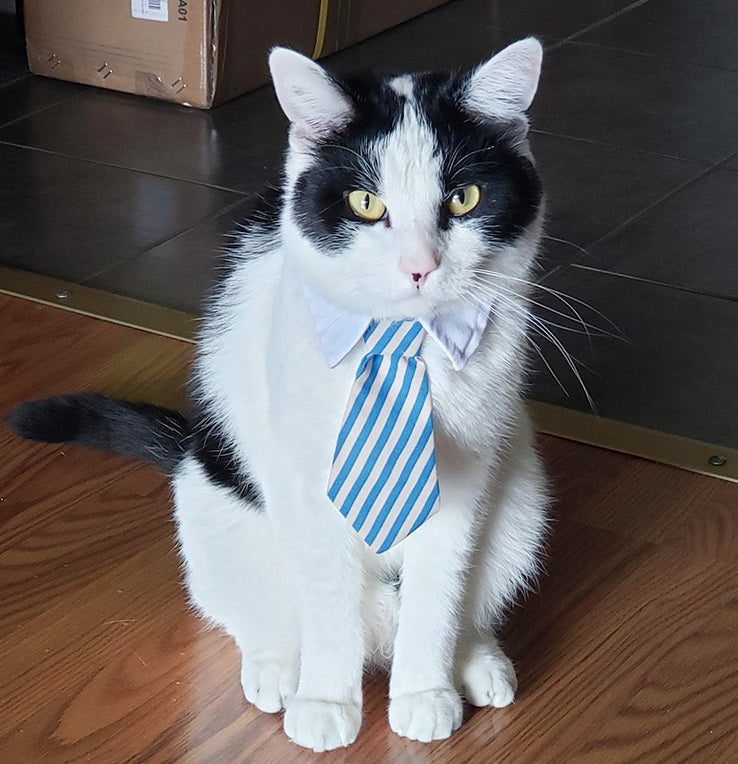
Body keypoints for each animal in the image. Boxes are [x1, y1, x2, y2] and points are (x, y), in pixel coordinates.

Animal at [5, 38, 548, 748]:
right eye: (365, 204)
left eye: (464, 199)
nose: (419, 267)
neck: (405, 349)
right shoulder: (307, 491)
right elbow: (326, 599)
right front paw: (326, 701)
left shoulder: (467, 485)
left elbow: (439, 590)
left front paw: (423, 692)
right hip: (213, 514)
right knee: (253, 610)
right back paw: (278, 669)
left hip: (521, 501)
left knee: (467, 598)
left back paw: (476, 658)